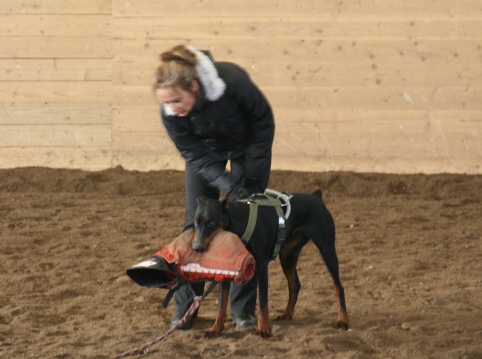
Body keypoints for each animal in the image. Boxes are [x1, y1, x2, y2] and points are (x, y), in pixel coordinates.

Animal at [193, 190, 350, 338]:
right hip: (288, 254)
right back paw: (287, 314)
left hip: (326, 249)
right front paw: (215, 329)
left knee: (338, 287)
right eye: (196, 222)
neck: (240, 224)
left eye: (211, 222)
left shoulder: (261, 265)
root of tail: (316, 197)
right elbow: (221, 304)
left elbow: (263, 302)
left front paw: (263, 330)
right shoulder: (227, 269)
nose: (197, 247)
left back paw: (342, 321)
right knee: (295, 285)